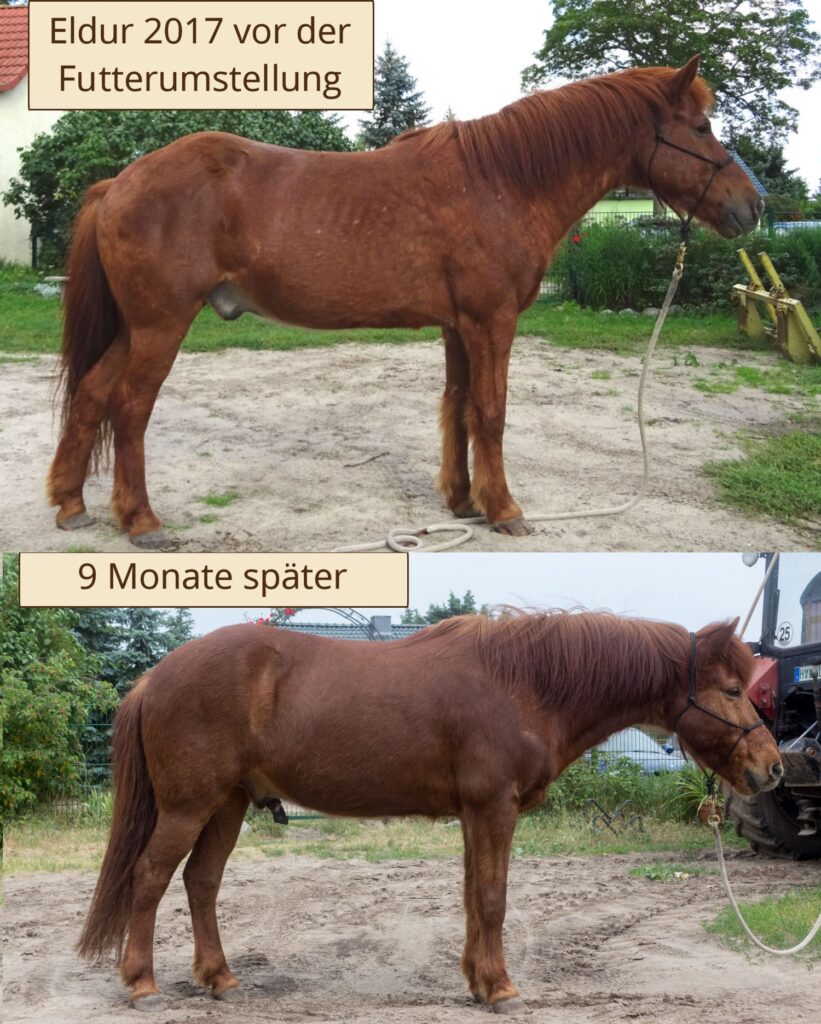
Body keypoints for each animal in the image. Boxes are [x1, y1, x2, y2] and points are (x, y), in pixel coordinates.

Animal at [47, 55, 763, 548]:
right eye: (701, 126)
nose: (752, 206)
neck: (503, 181)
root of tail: (119, 182)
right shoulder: (491, 321)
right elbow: (491, 412)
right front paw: (506, 511)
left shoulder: (459, 326)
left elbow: (458, 407)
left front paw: (463, 503)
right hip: (160, 324)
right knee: (129, 407)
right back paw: (141, 521)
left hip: (136, 327)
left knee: (91, 394)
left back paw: (71, 504)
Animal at [78, 611, 782, 1014]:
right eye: (730, 689)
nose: (772, 767)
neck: (523, 683)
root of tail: (154, 677)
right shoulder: (494, 809)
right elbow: (493, 899)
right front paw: (502, 989)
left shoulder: (475, 814)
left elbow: (473, 897)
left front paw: (477, 981)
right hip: (189, 806)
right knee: (149, 878)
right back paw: (141, 984)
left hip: (226, 806)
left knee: (200, 883)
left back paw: (219, 979)